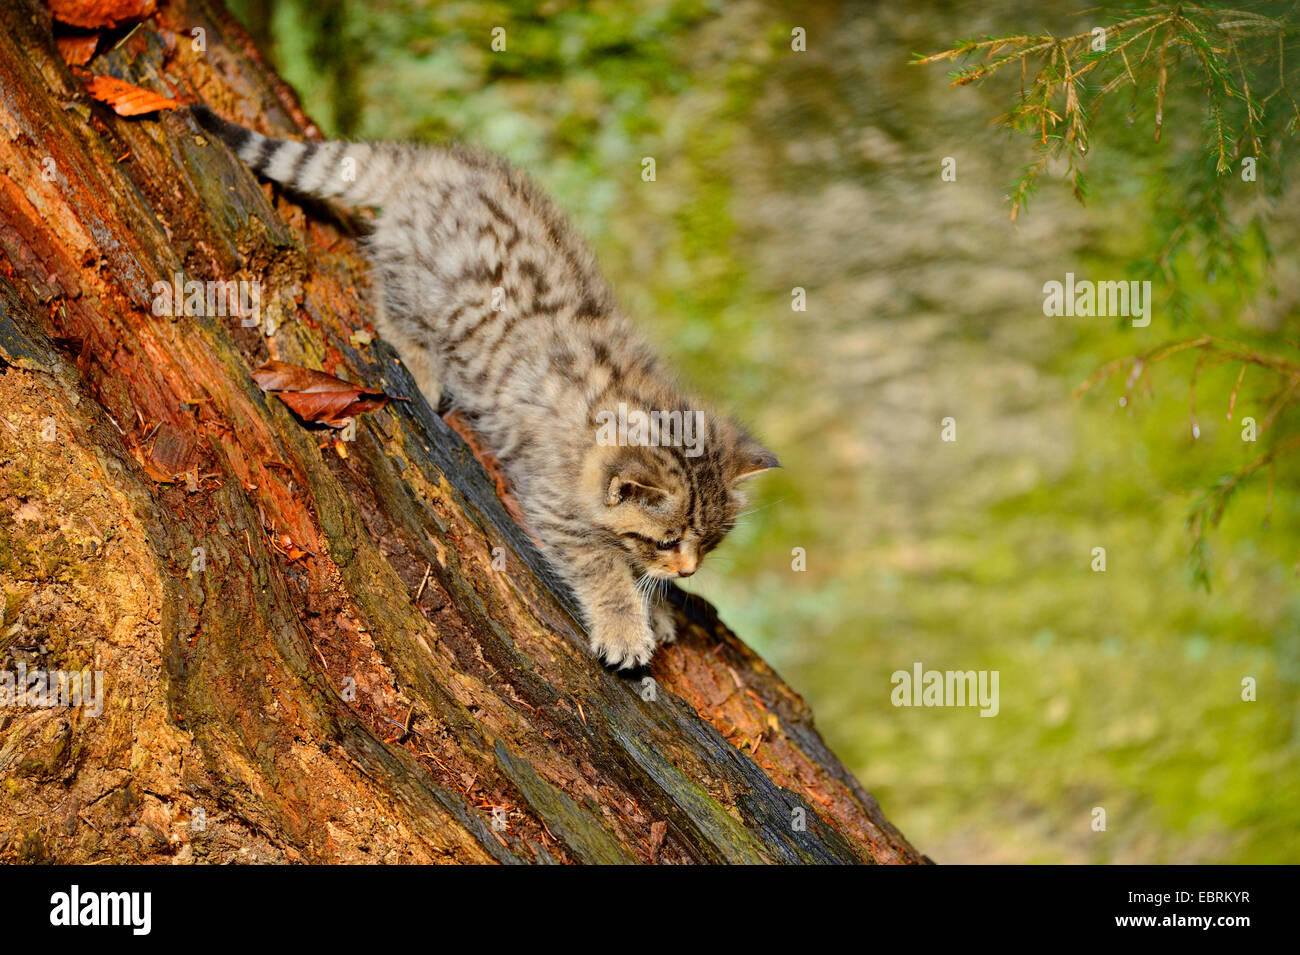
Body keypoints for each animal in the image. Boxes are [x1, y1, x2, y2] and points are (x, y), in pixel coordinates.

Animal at [192, 104, 769, 670]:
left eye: (709, 545)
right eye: (667, 539)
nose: (689, 571)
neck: (629, 396)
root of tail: (438, 162)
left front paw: (658, 605)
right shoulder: (554, 502)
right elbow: (598, 563)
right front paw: (626, 623)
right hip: (420, 283)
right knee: (394, 307)